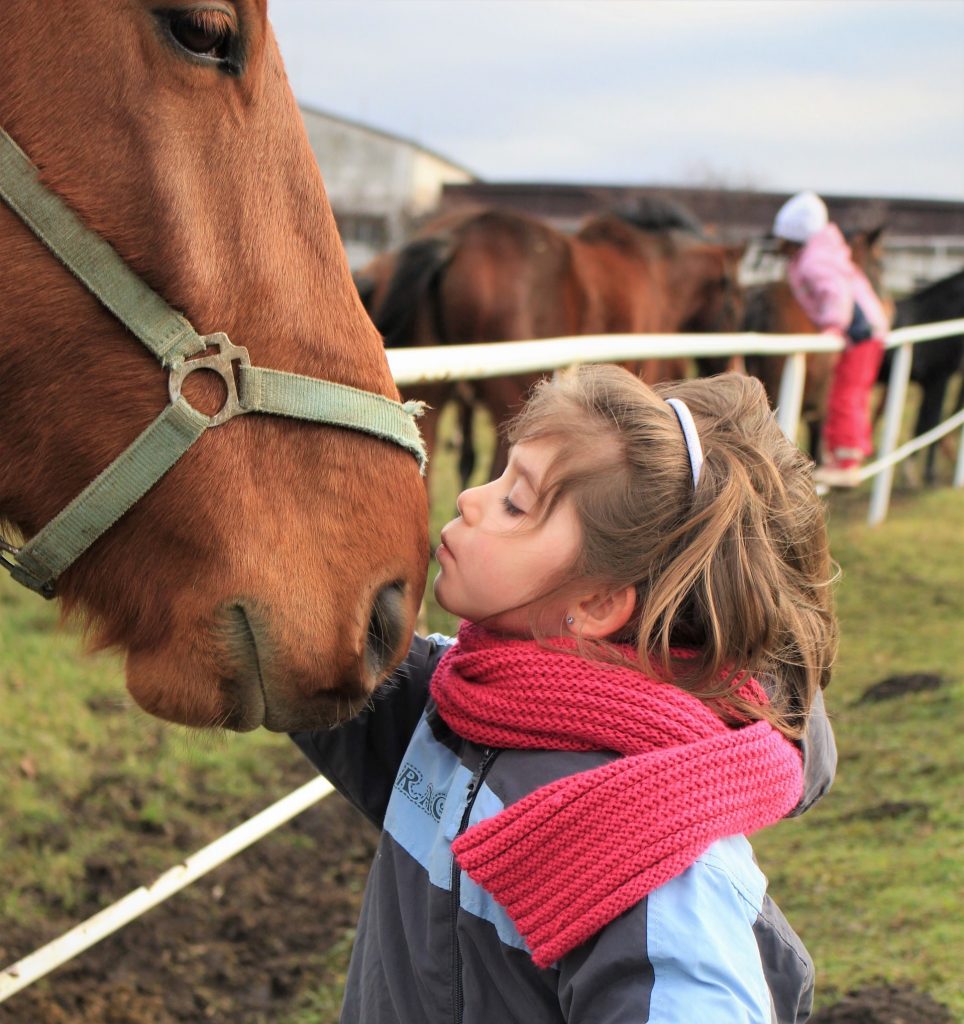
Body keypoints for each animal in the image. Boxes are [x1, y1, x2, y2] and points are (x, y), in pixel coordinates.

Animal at [356, 200, 741, 491]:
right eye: (735, 301)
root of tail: (455, 237)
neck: (656, 270)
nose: (732, 369)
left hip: (437, 394)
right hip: (511, 398)